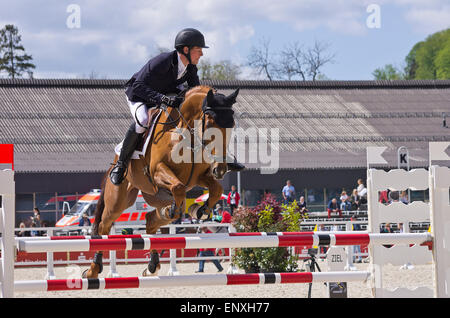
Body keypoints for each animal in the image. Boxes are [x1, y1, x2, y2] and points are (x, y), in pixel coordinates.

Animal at [84, 85, 239, 278]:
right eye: (210, 124)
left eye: (231, 125)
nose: (221, 168)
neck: (186, 134)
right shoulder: (158, 171)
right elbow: (178, 187)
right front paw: (189, 210)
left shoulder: (200, 177)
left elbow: (216, 189)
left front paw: (200, 210)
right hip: (118, 201)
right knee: (103, 226)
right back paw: (94, 269)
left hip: (154, 196)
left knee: (151, 219)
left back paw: (152, 263)